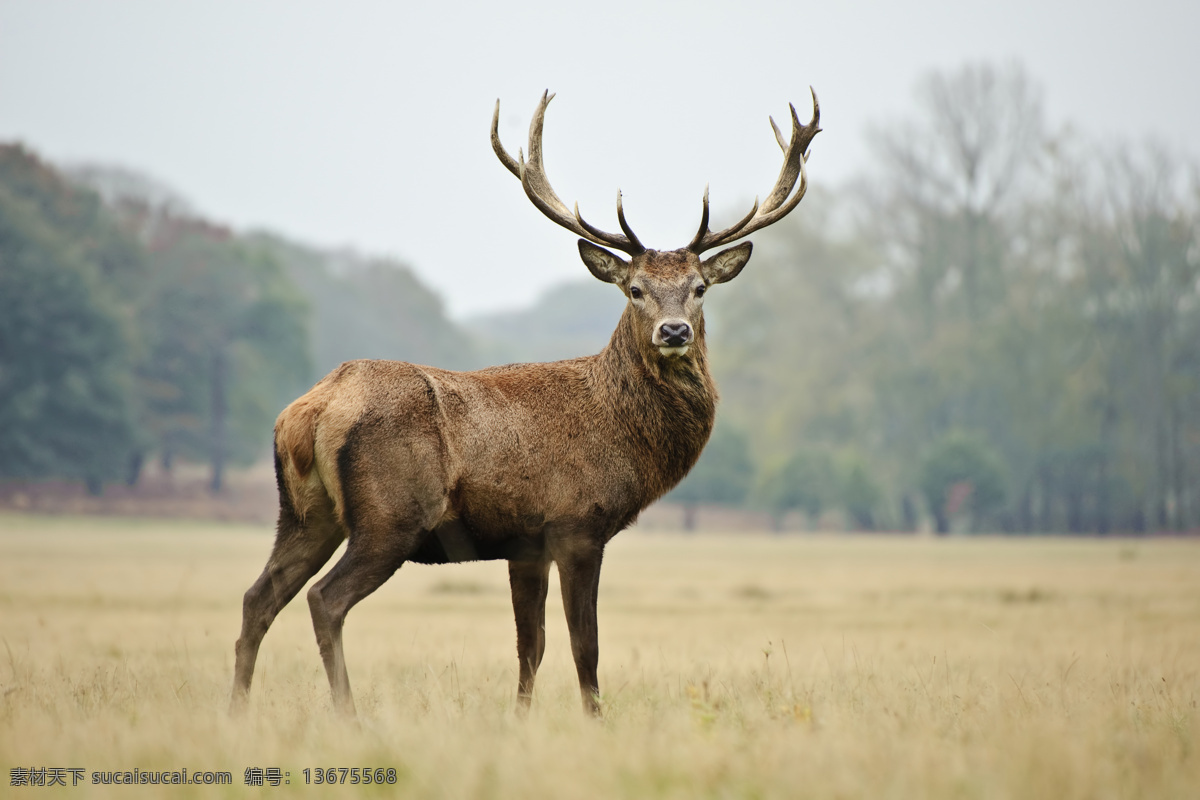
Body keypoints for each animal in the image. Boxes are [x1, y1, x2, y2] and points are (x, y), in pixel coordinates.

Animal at [230, 89, 820, 717]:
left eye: (700, 288)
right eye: (634, 289)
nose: (675, 330)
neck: (622, 435)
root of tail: (310, 410)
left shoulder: (525, 544)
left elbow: (529, 646)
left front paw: (520, 719)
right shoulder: (577, 524)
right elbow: (584, 645)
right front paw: (594, 719)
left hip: (304, 513)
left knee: (257, 597)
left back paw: (237, 711)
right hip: (390, 515)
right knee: (325, 599)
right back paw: (349, 716)